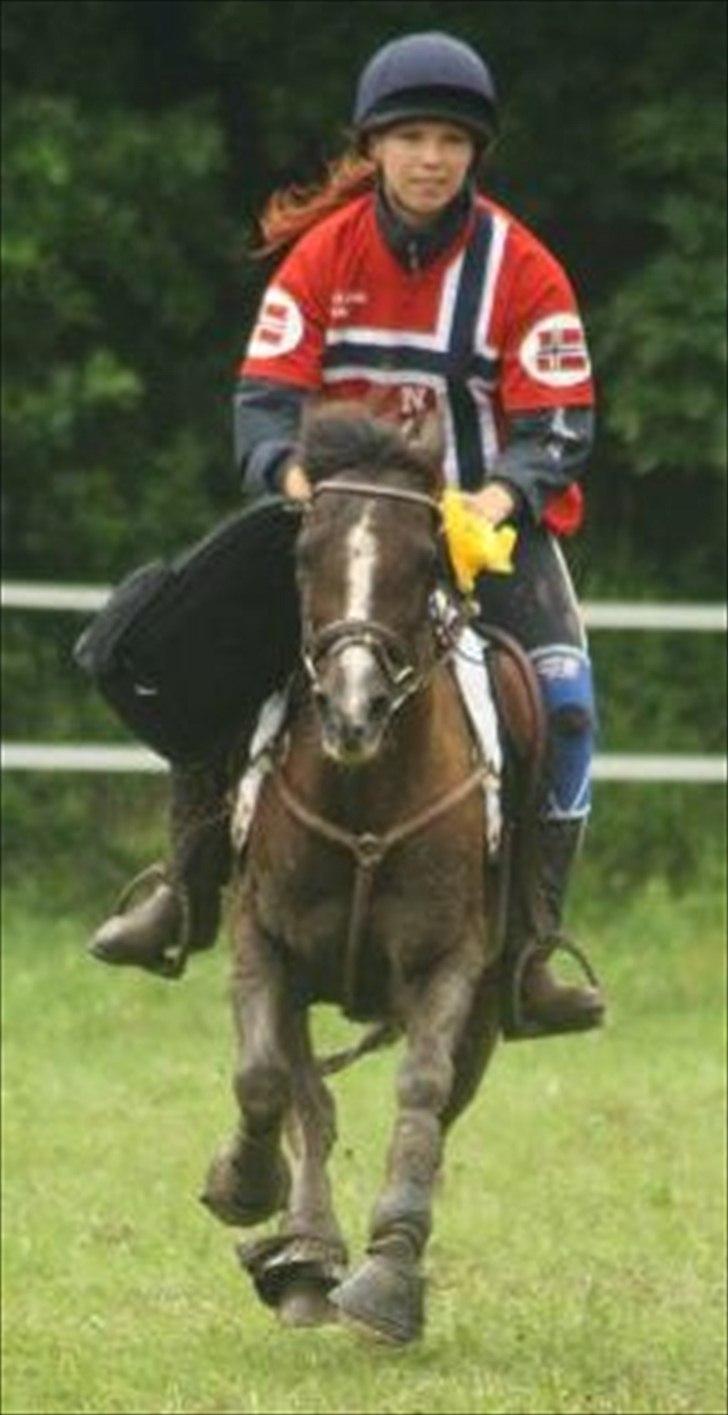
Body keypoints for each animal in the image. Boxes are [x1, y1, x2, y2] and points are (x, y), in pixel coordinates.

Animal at [201, 405, 514, 1345]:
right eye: (307, 555)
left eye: (421, 560)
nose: (353, 706)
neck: (365, 796)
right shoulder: (268, 944)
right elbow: (271, 1083)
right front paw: (253, 1194)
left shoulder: (451, 963)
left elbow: (422, 1092)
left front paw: (388, 1275)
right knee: (308, 1097)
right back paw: (303, 1257)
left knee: (441, 1107)